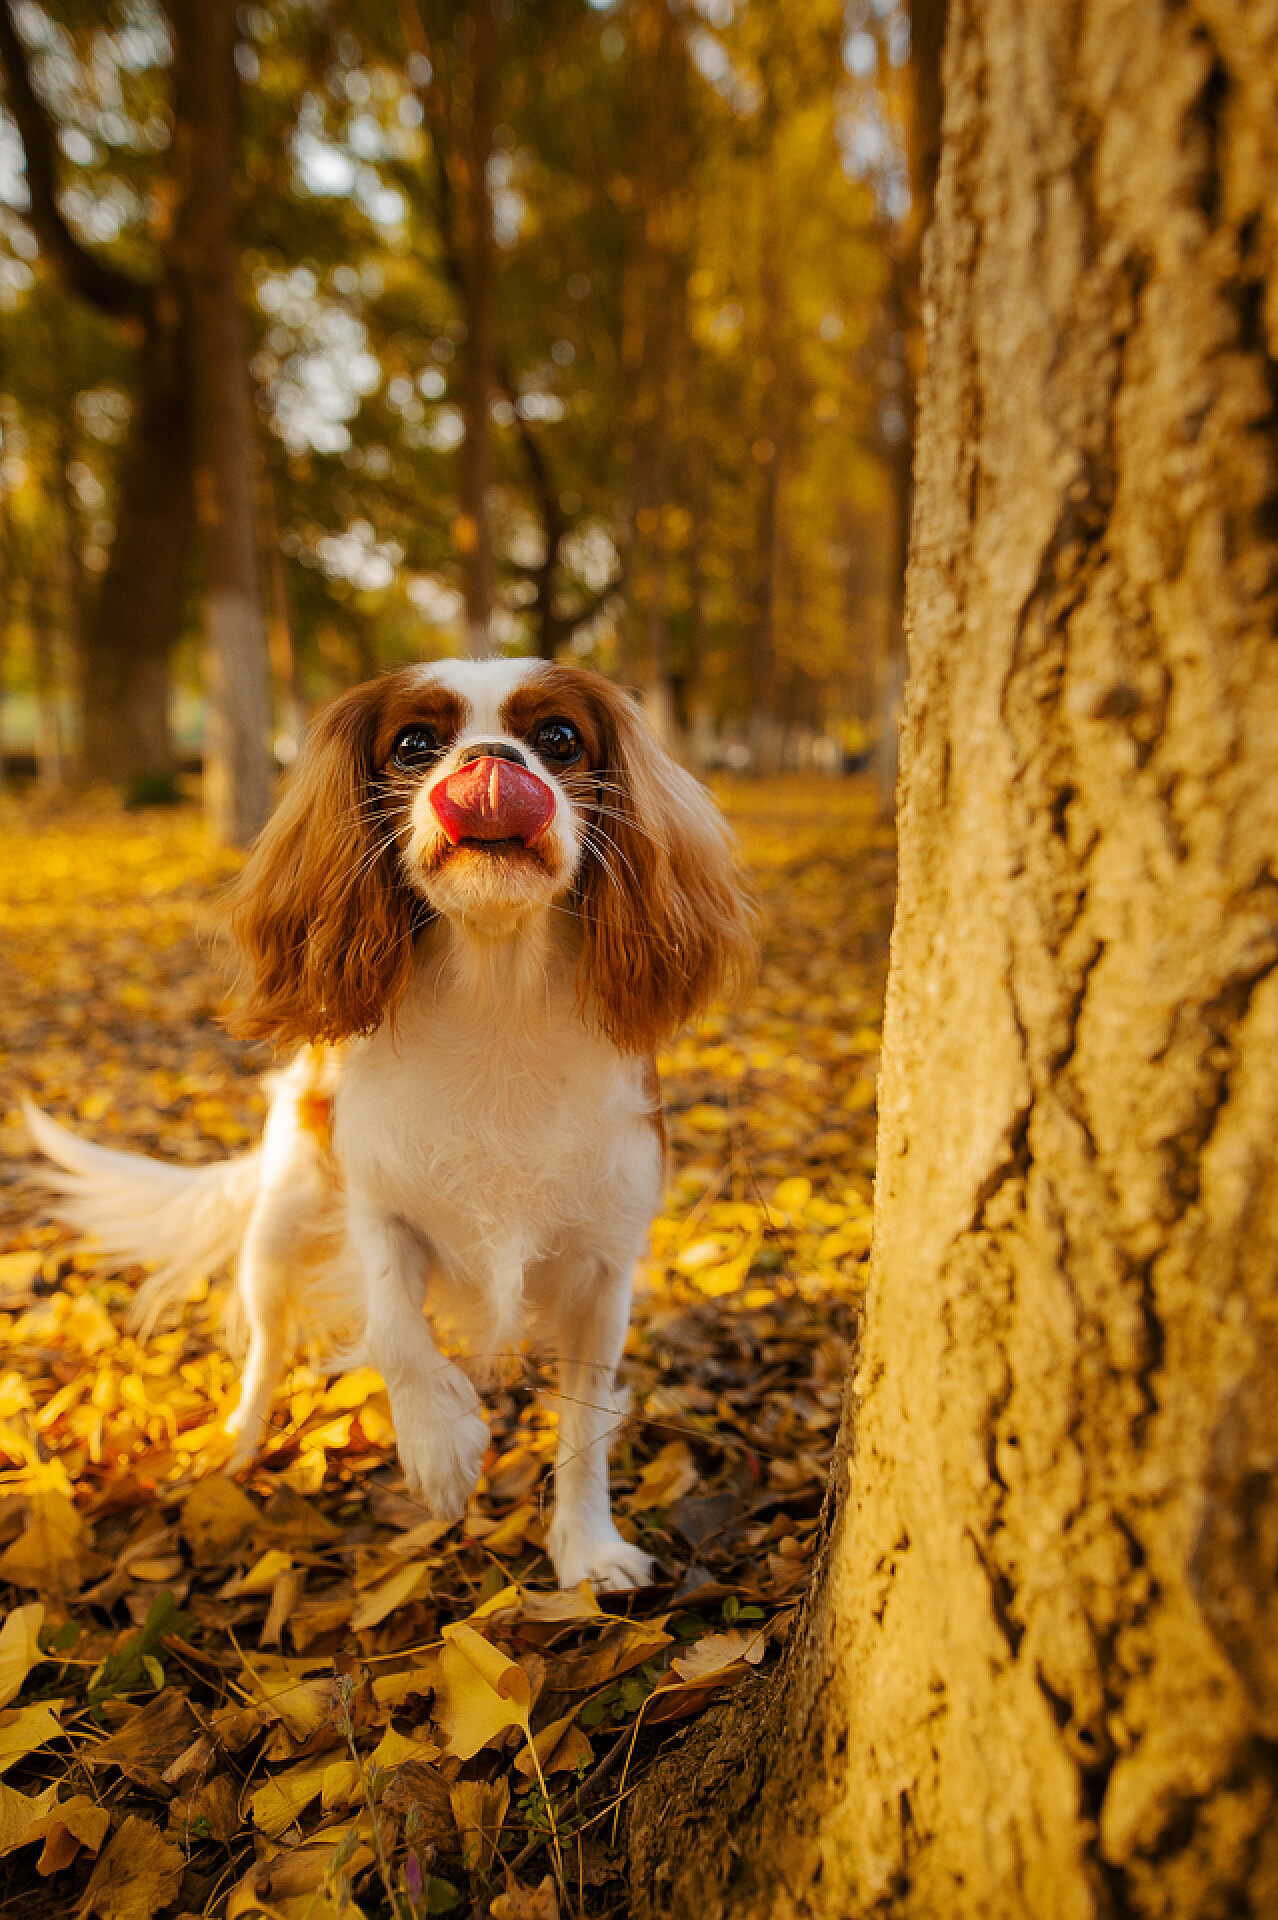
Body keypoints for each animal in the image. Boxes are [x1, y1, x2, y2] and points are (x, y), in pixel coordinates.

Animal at [27, 660, 756, 1589]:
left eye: (559, 738)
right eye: (414, 745)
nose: (491, 762)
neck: (497, 999)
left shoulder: (602, 1271)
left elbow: (584, 1422)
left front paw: (588, 1548)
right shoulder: (377, 1208)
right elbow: (393, 1328)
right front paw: (441, 1449)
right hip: (279, 1228)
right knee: (265, 1348)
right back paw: (236, 1449)